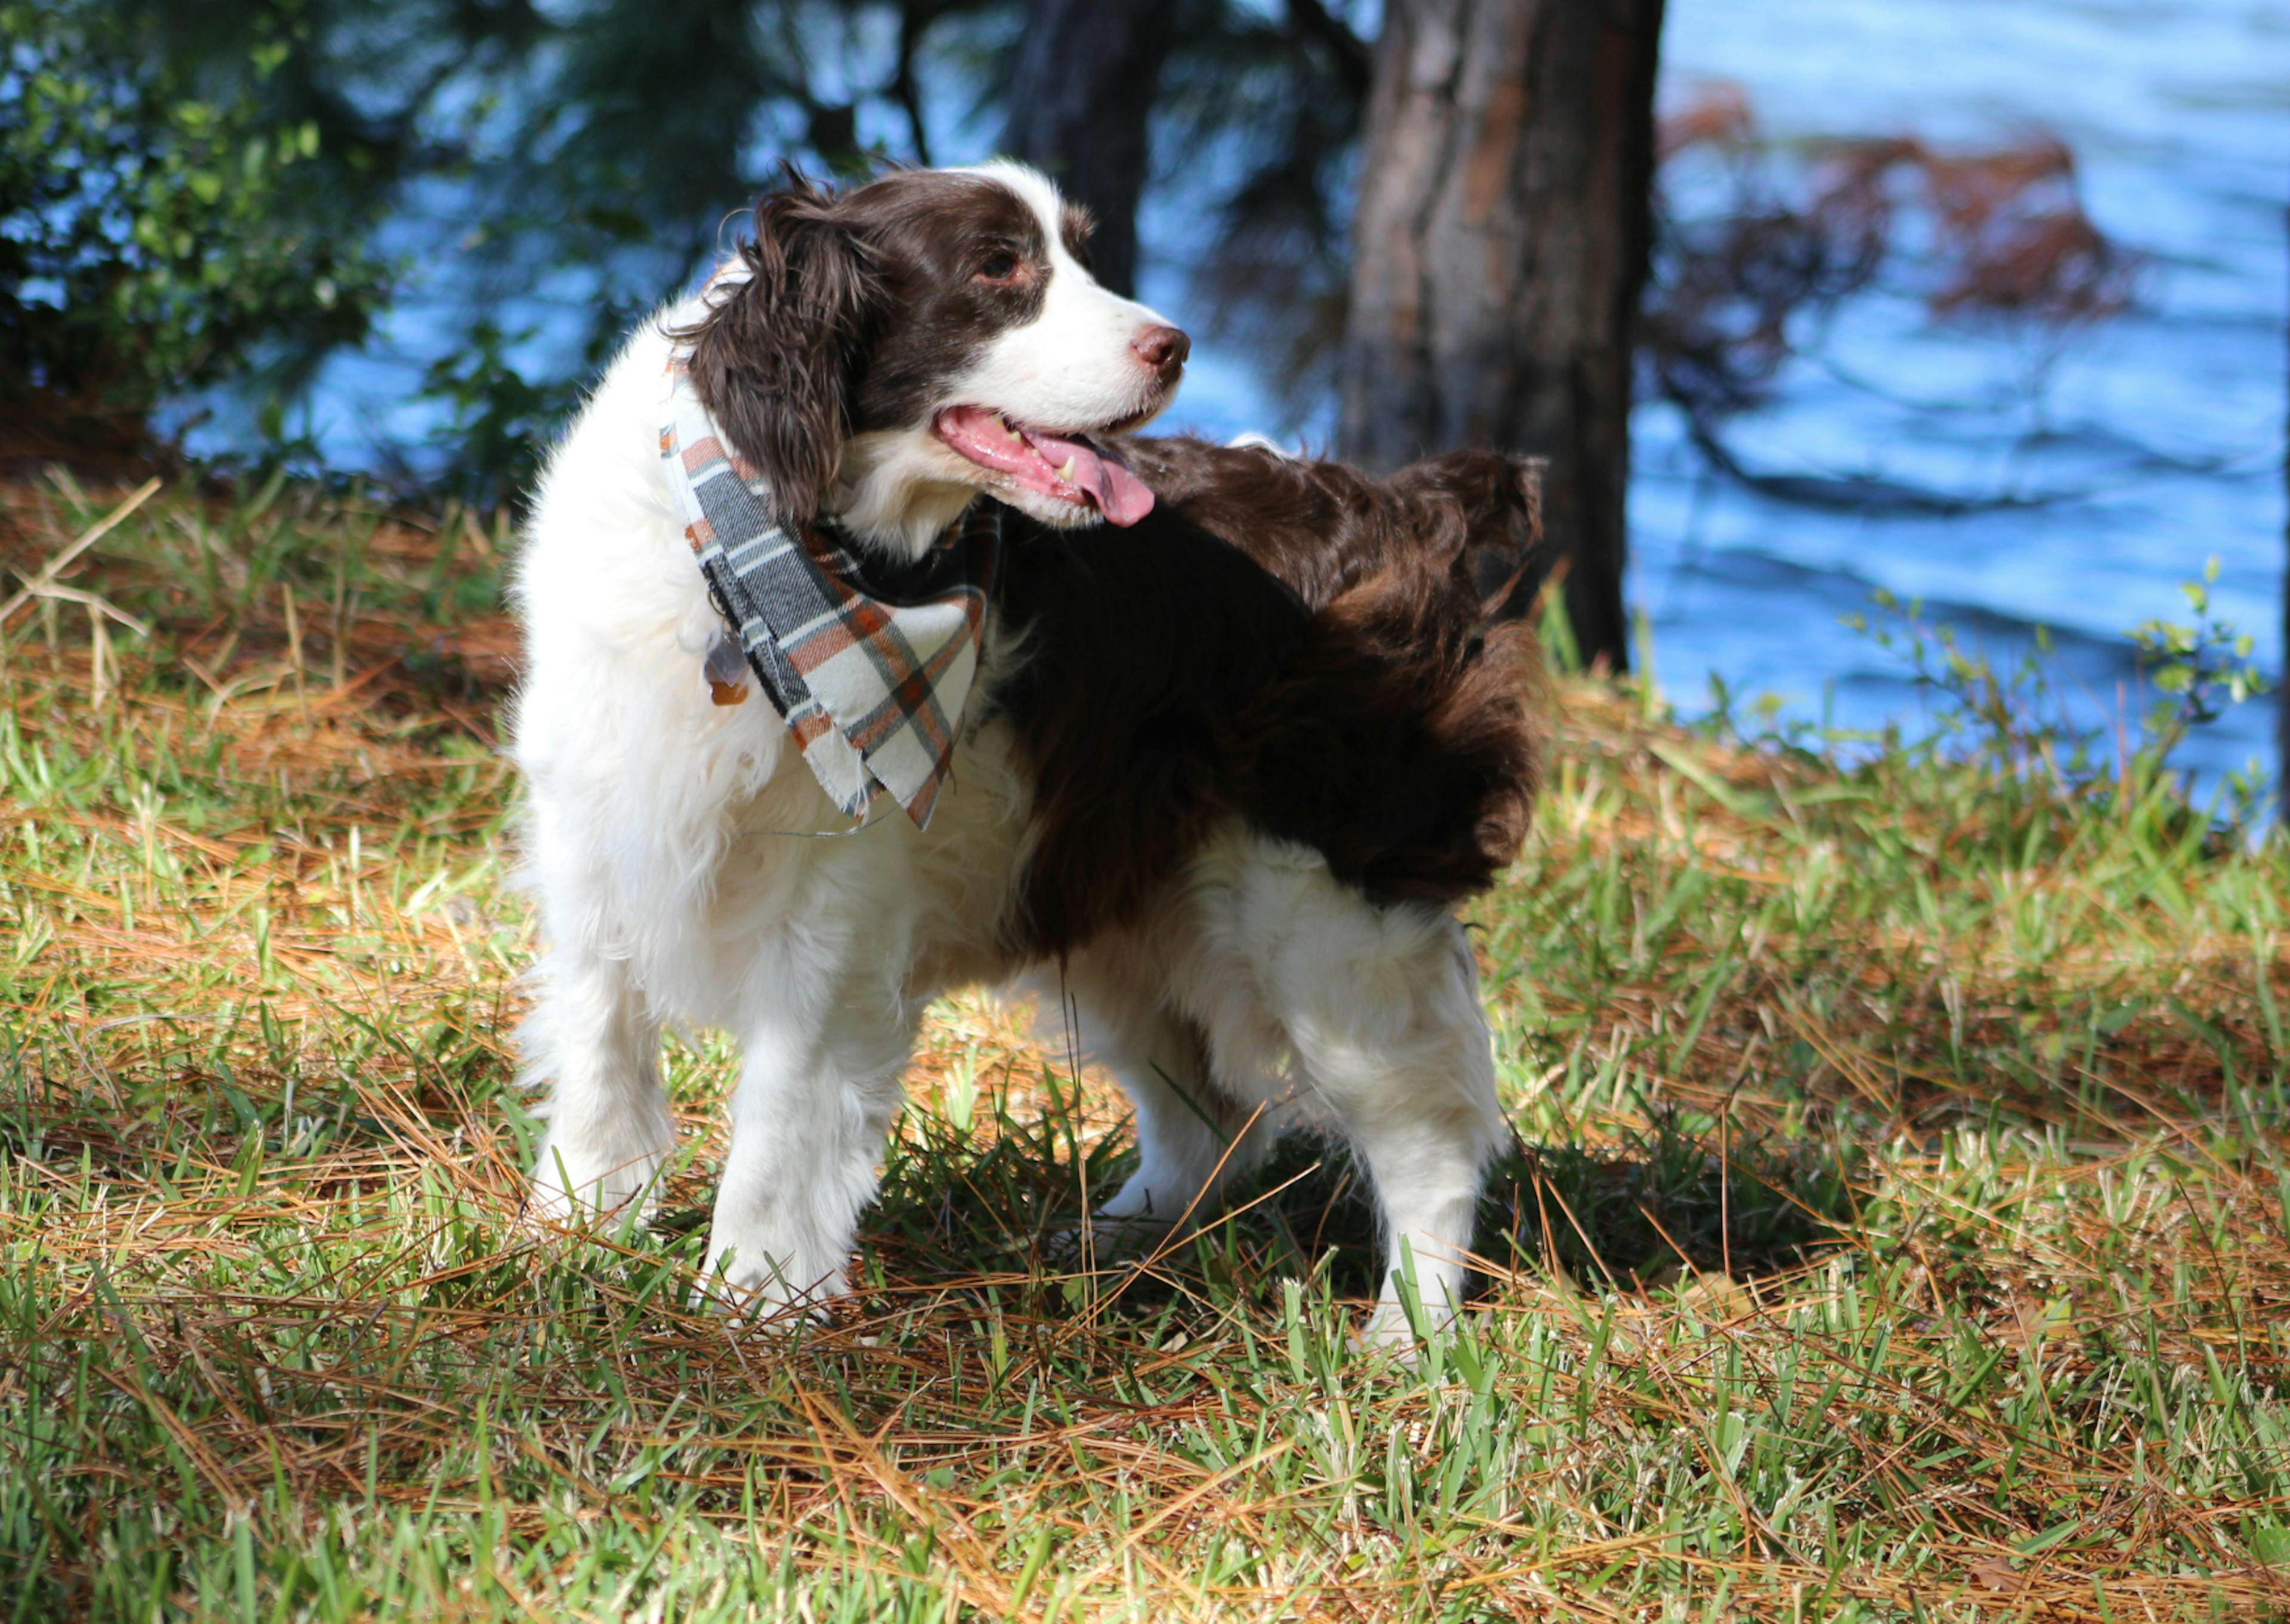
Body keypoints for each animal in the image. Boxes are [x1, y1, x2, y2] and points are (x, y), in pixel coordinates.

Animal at [515, 161, 1539, 1347]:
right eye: (998, 266)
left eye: (1080, 254)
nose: (1175, 344)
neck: (774, 571)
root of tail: (1403, 500)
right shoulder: (600, 834)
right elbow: (600, 1056)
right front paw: (568, 1242)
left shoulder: (832, 907)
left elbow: (780, 1118)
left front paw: (745, 1306)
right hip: (1121, 895)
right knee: (1214, 1111)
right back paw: (1116, 1245)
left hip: (1330, 914)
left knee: (1429, 1134)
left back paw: (1409, 1339)